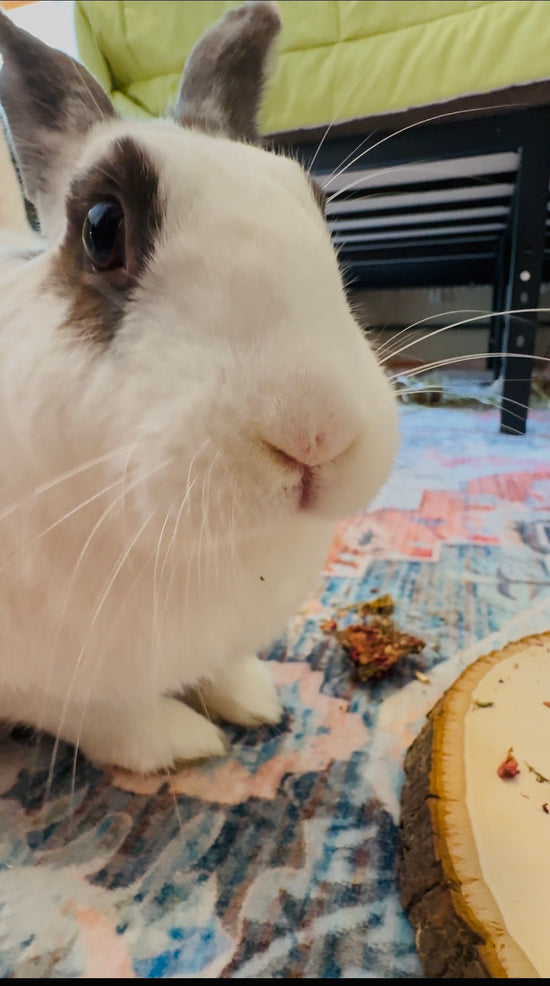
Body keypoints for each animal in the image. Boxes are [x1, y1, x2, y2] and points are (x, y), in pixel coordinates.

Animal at [0, 1, 399, 773]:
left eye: (318, 208)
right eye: (101, 228)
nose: (316, 433)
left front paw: (253, 698)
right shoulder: (35, 678)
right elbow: (89, 709)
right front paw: (181, 744)